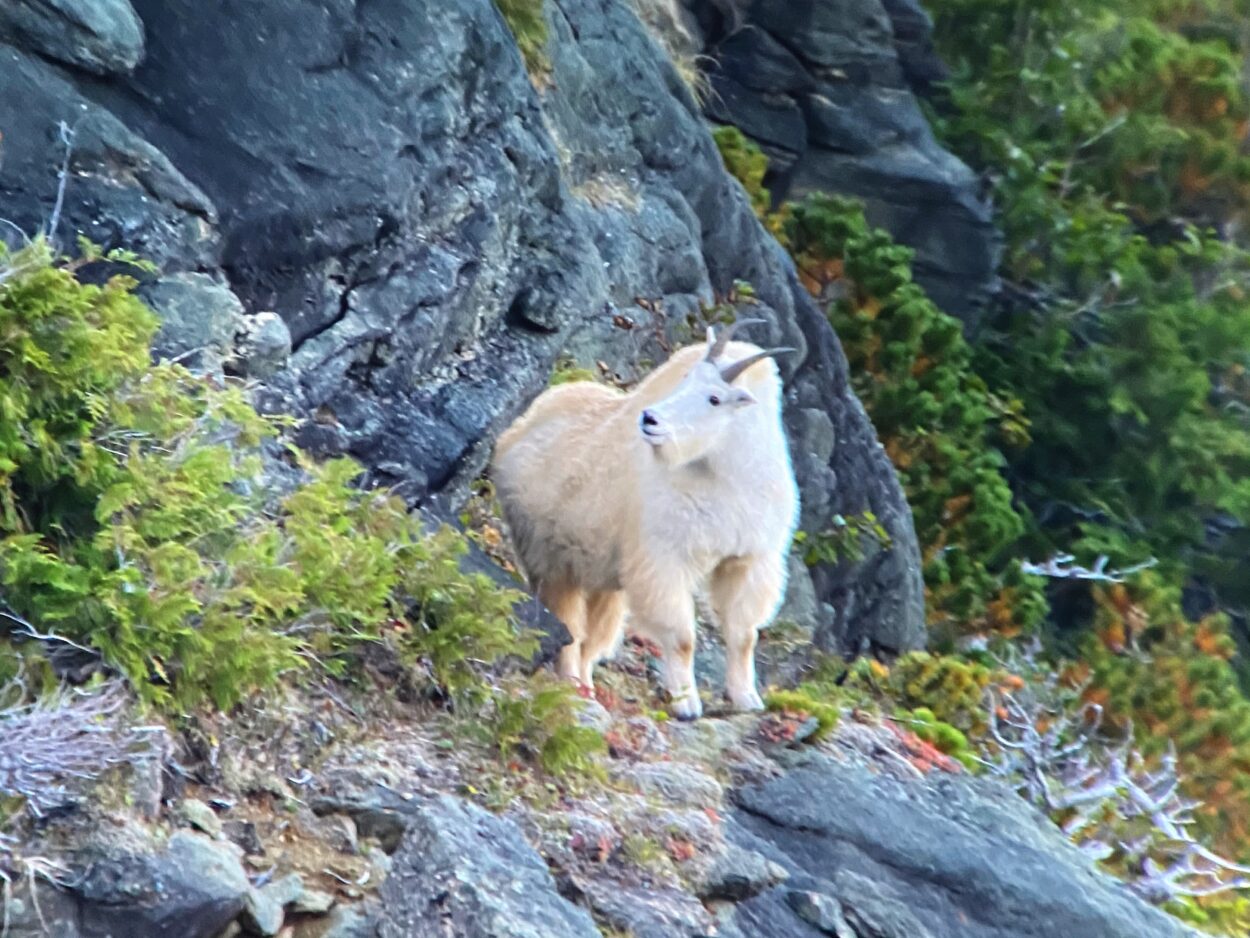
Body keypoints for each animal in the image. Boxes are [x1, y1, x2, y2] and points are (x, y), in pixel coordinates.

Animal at [490, 322, 800, 720]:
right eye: (686, 379)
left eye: (715, 398)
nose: (651, 420)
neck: (724, 476)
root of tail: (517, 431)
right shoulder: (664, 559)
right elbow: (681, 638)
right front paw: (687, 704)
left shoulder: (747, 560)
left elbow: (744, 635)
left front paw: (747, 699)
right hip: (553, 561)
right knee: (569, 630)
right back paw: (573, 686)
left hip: (603, 579)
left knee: (593, 638)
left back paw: (589, 689)